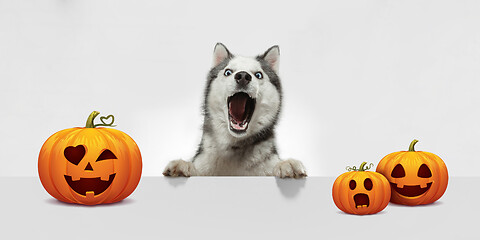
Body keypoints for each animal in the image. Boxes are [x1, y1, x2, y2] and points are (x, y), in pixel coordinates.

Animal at [163, 43, 306, 178]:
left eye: (258, 75)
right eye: (228, 72)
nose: (242, 76)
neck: (234, 146)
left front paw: (287, 164)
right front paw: (183, 165)